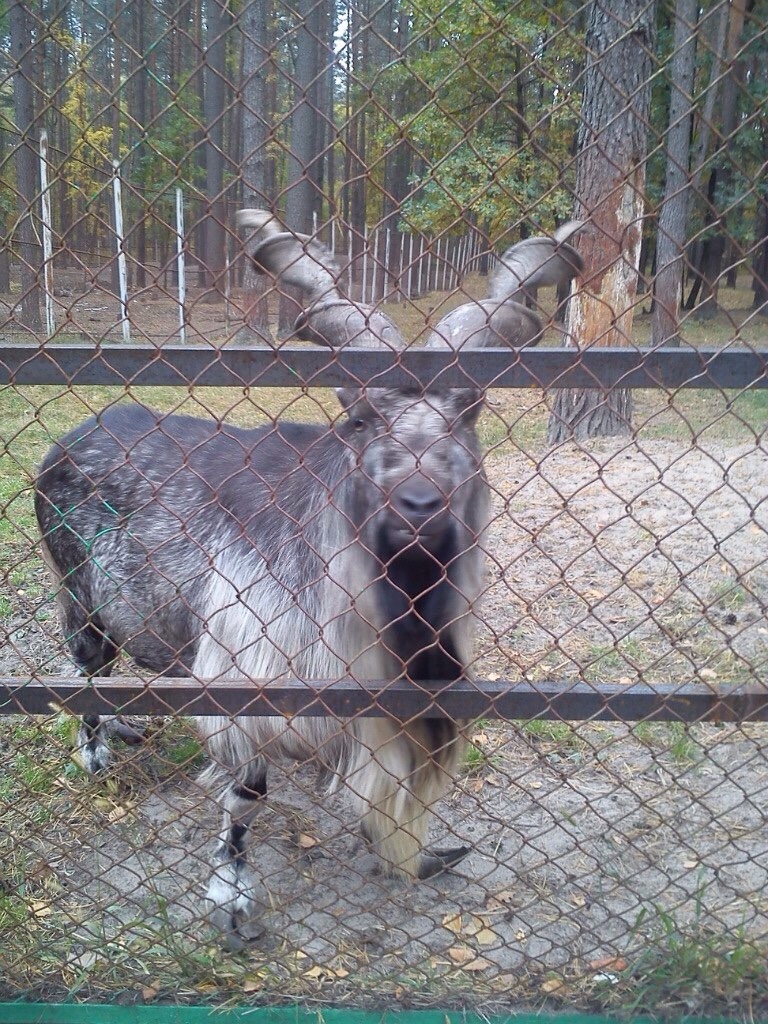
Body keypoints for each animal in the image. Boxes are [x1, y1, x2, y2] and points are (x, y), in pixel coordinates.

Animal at [33, 214, 581, 942]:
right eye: (362, 418)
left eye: (469, 413)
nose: (419, 507)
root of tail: (67, 440)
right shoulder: (249, 685)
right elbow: (247, 796)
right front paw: (233, 898)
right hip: (80, 598)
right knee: (85, 665)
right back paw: (96, 754)